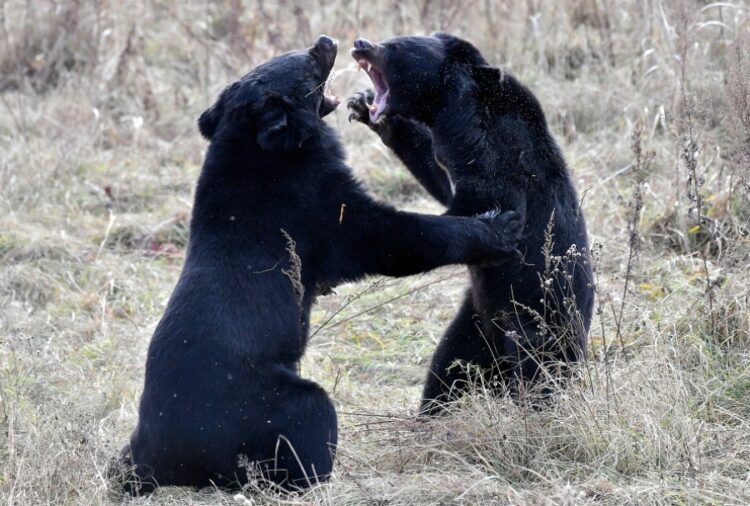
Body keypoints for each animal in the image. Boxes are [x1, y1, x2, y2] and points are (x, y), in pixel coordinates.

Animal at [117, 33, 524, 492]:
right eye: (309, 65)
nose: (327, 40)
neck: (255, 147)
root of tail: (154, 456)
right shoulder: (319, 208)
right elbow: (394, 238)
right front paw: (501, 227)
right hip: (265, 408)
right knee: (309, 423)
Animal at [350, 32, 596, 416]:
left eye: (396, 46)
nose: (361, 42)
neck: (450, 107)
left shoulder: (493, 155)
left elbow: (479, 203)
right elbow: (442, 183)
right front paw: (368, 110)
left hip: (537, 321)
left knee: (537, 373)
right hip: (477, 321)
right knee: (448, 368)